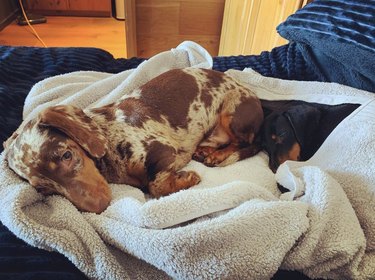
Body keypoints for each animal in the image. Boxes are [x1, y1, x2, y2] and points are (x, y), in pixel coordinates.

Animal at [2, 68, 264, 212]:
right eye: (44, 189)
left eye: (67, 155)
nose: (99, 208)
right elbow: (154, 185)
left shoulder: (165, 150)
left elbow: (155, 186)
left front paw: (187, 178)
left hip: (232, 111)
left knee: (249, 144)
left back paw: (220, 155)